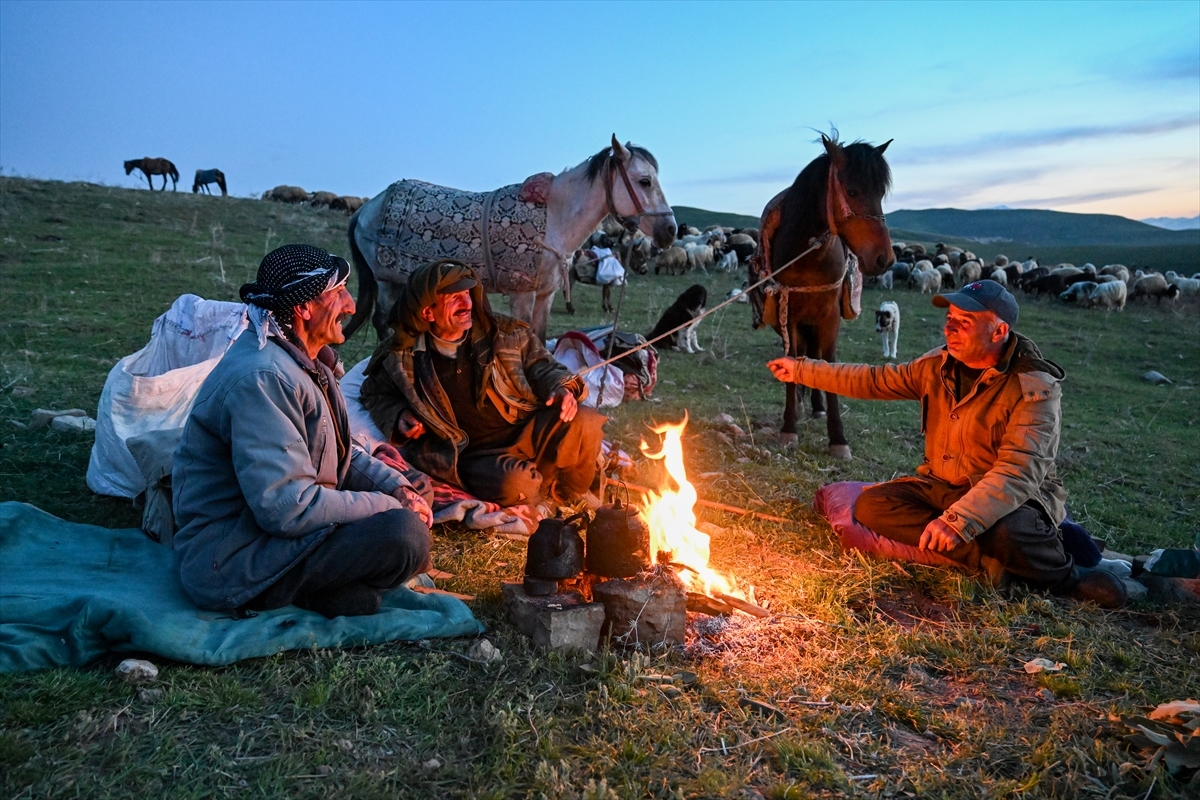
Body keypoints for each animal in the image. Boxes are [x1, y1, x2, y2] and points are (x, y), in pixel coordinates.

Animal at [345, 135, 676, 340]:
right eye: (644, 181)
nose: (670, 230)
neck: (554, 219)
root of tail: (366, 208)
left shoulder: (545, 295)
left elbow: (540, 338)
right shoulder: (522, 294)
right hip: (386, 281)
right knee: (383, 323)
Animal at [748, 134, 892, 460]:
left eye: (881, 193)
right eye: (852, 191)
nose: (884, 259)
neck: (809, 257)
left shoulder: (829, 317)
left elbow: (827, 361)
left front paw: (838, 438)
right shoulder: (789, 314)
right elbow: (792, 357)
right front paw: (789, 427)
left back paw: (816, 406)